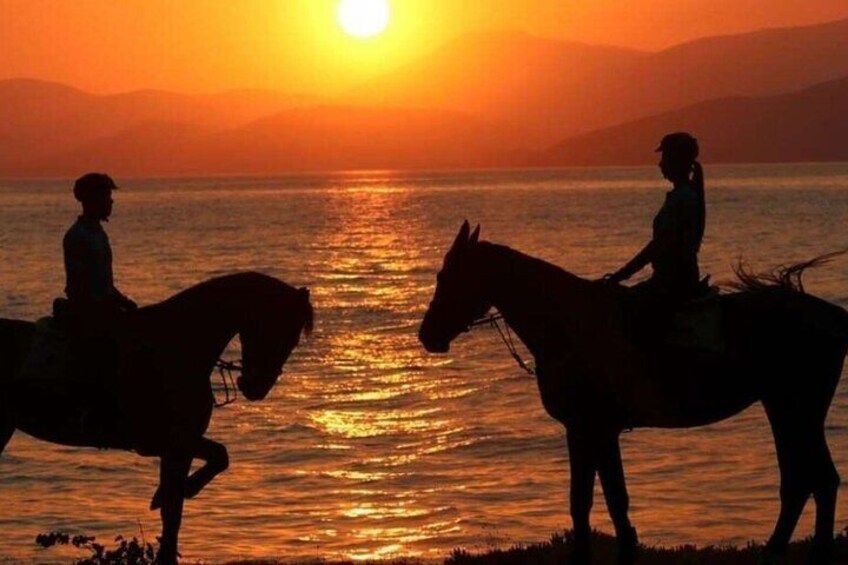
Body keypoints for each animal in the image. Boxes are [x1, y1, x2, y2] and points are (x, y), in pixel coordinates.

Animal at [0, 270, 314, 560]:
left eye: (294, 337)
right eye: (278, 328)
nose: (256, 387)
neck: (177, 346)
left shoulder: (180, 444)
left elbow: (215, 462)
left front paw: (171, 495)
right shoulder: (177, 444)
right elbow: (174, 510)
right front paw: (169, 500)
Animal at [418, 220, 848, 564]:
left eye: (446, 276)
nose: (427, 335)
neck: (568, 323)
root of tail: (831, 315)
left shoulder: (590, 427)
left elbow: (597, 499)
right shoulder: (592, 430)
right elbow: (598, 499)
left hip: (797, 407)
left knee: (817, 479)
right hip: (784, 406)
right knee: (803, 481)